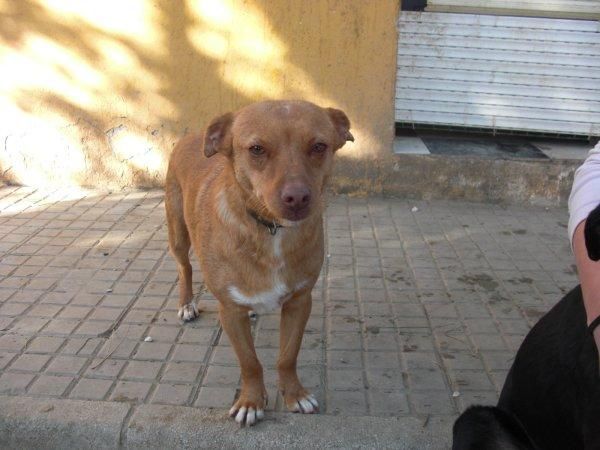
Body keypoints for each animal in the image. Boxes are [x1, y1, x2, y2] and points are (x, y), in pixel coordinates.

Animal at [164, 99, 352, 426]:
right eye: (256, 149)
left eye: (319, 146)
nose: (297, 197)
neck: (271, 230)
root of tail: (193, 135)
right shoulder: (229, 311)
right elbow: (250, 362)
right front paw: (250, 401)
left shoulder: (300, 302)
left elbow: (287, 356)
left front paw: (294, 395)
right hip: (177, 233)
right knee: (184, 267)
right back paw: (187, 304)